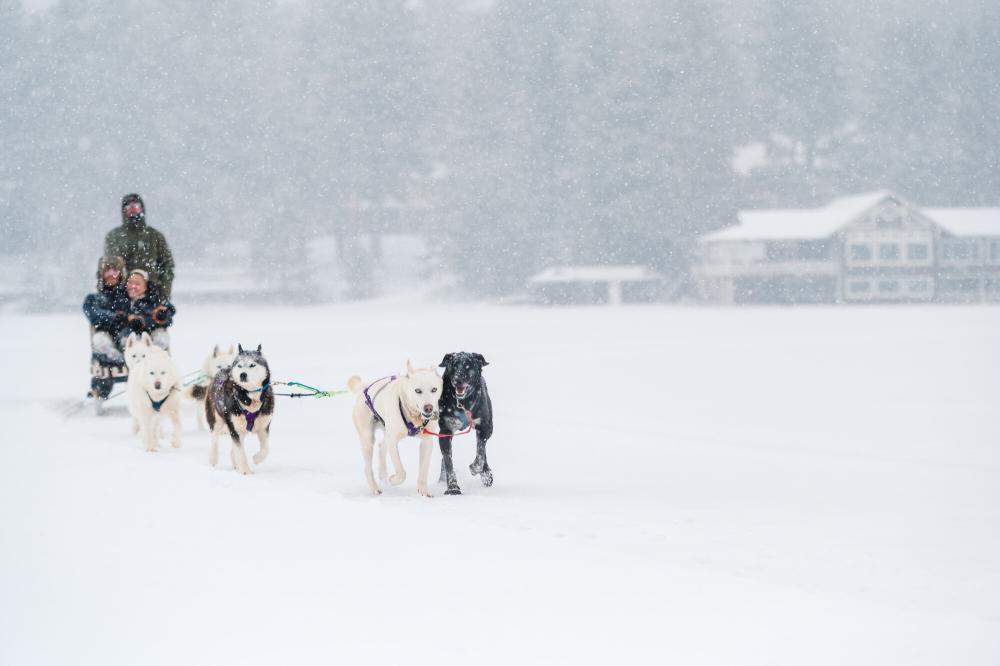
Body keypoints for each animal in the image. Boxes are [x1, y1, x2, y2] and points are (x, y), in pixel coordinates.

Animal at [352, 360, 446, 496]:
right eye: (418, 391)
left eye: (434, 389)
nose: (428, 408)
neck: (413, 417)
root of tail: (363, 388)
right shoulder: (393, 440)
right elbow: (401, 471)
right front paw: (393, 479)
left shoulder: (426, 442)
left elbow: (423, 471)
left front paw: (423, 491)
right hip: (368, 439)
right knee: (367, 468)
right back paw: (375, 488)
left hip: (386, 433)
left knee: (381, 447)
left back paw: (383, 475)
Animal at [440, 352, 494, 492]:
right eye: (453, 365)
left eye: (468, 365)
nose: (457, 379)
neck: (462, 403)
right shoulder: (445, 431)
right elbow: (448, 461)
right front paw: (453, 488)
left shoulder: (485, 428)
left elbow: (480, 454)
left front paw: (478, 470)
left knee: (482, 450)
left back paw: (486, 473)